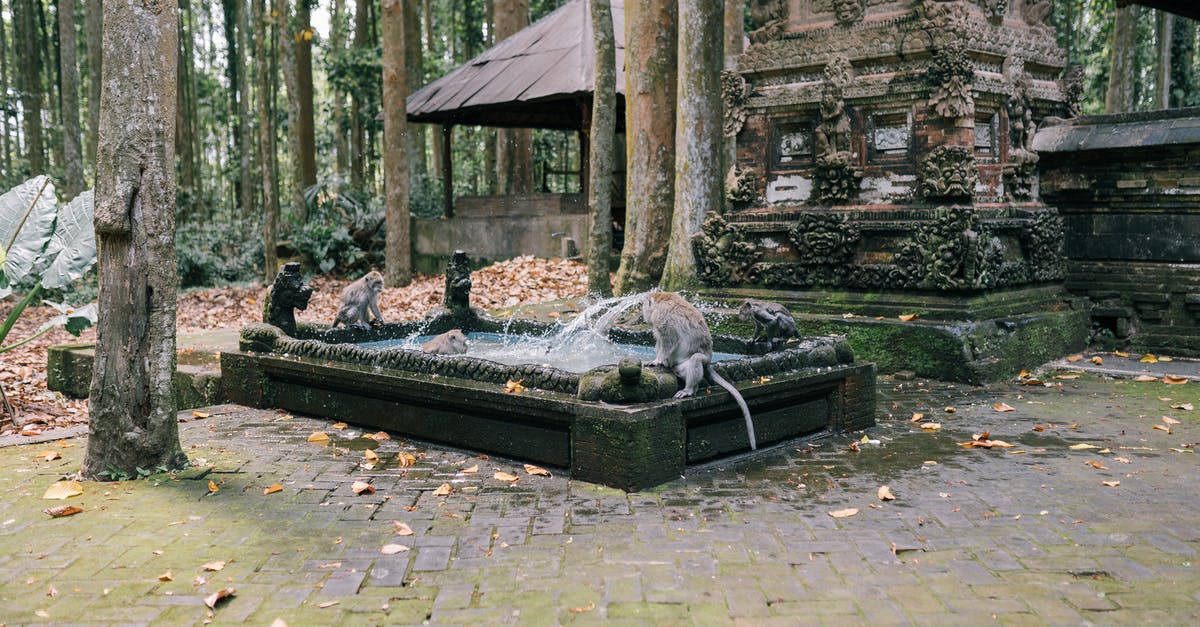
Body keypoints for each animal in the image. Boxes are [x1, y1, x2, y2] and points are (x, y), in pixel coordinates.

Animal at [643, 290, 753, 446]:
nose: (643, 316)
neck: (661, 300)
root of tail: (709, 361)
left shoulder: (662, 317)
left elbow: (670, 340)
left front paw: (657, 360)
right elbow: (660, 341)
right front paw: (659, 360)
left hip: (700, 359)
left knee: (695, 359)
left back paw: (689, 390)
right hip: (680, 366)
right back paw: (690, 385)